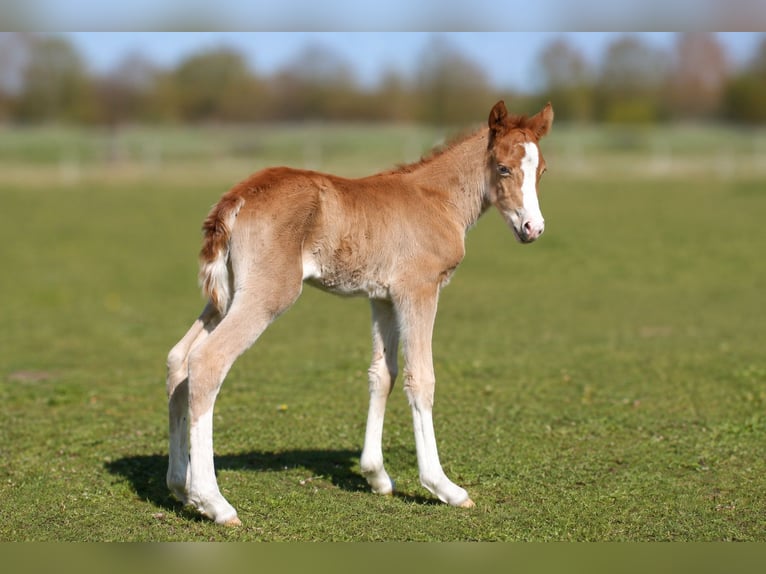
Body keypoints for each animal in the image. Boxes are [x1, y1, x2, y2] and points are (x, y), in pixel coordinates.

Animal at [166, 100, 554, 525]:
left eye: (541, 170)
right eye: (502, 168)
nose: (533, 228)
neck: (437, 199)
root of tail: (237, 198)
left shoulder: (382, 298)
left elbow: (383, 374)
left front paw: (376, 476)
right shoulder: (418, 290)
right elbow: (422, 378)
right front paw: (443, 487)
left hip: (226, 295)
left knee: (179, 360)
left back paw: (179, 487)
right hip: (268, 293)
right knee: (208, 361)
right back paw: (213, 502)